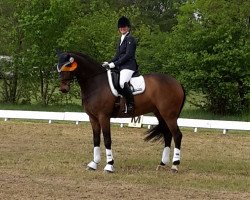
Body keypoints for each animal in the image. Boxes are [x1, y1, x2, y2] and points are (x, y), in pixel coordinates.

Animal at [56, 50, 186, 173]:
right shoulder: (93, 118)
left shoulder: (104, 116)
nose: (63, 89)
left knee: (177, 135)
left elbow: (107, 140)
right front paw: (94, 164)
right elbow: (96, 139)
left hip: (169, 115)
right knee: (168, 134)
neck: (96, 83)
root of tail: (177, 83)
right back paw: (162, 164)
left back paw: (175, 166)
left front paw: (109, 165)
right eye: (58, 66)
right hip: (160, 114)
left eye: (68, 66)